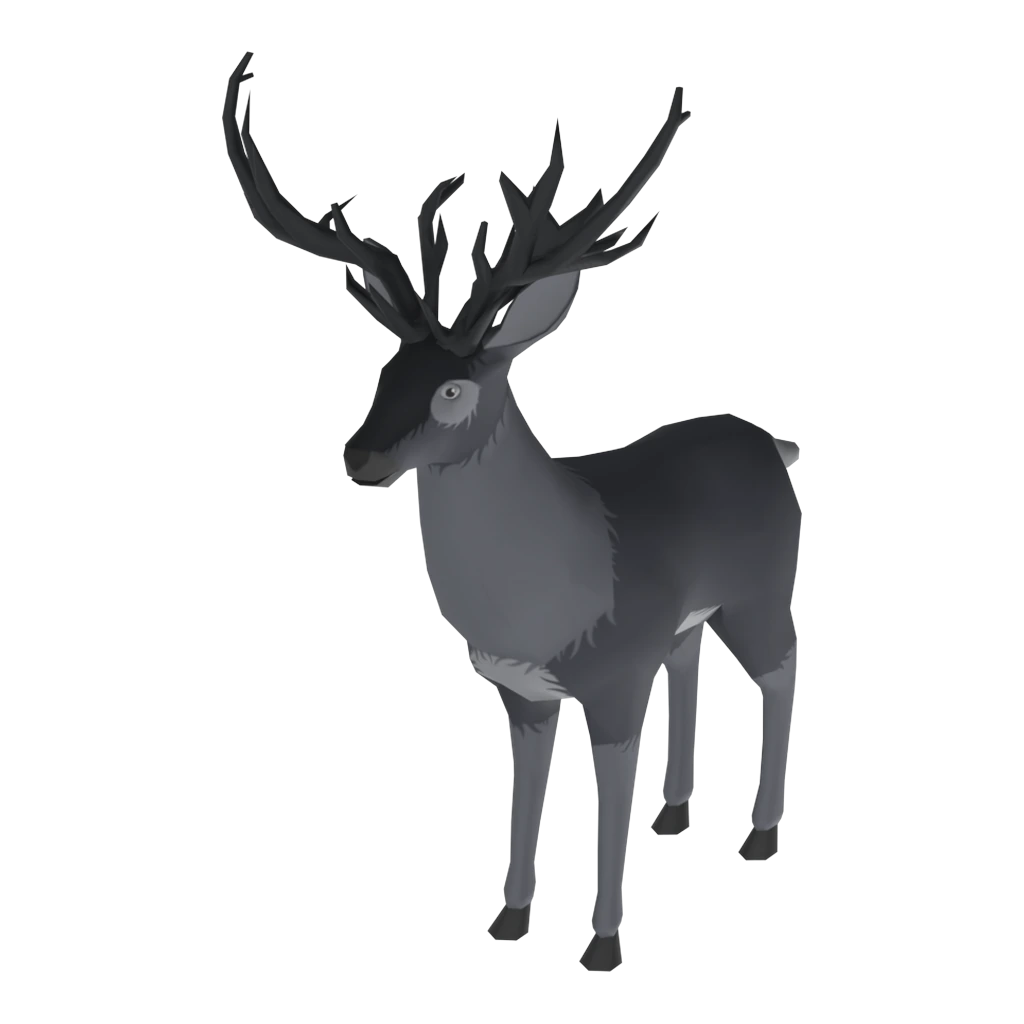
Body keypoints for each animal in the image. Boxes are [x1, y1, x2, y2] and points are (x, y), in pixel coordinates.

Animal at [225, 53, 800, 972]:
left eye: (455, 389)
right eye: (386, 371)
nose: (361, 459)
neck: (550, 588)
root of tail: (772, 447)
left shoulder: (611, 677)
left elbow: (605, 798)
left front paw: (601, 944)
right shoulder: (520, 692)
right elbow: (525, 793)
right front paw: (508, 919)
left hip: (759, 590)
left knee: (783, 669)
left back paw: (761, 833)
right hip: (688, 618)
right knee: (690, 663)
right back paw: (675, 812)